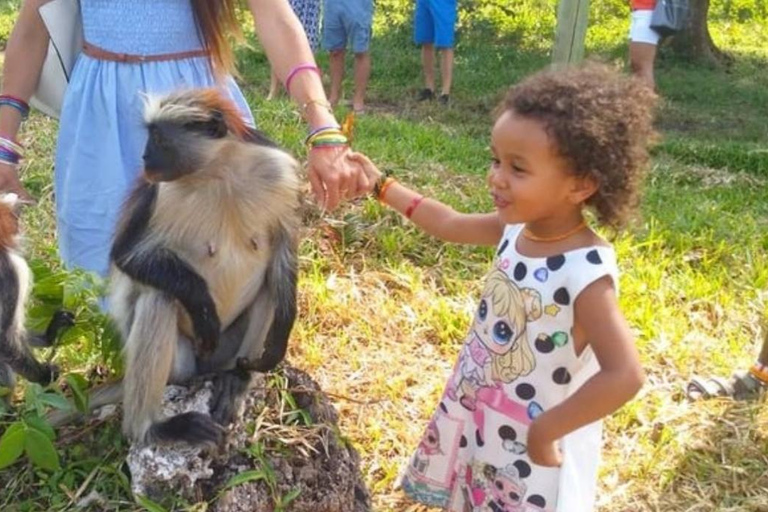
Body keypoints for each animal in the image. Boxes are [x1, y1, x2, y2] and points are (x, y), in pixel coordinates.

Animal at [63, 90, 304, 446]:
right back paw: (150, 427)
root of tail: (204, 369)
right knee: (159, 297)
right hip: (182, 366)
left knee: (269, 290)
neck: (218, 172)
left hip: (225, 353)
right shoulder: (159, 193)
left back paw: (236, 379)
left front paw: (279, 340)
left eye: (160, 138)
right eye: (150, 137)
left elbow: (284, 248)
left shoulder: (278, 172)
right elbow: (128, 256)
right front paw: (203, 307)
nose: (145, 156)